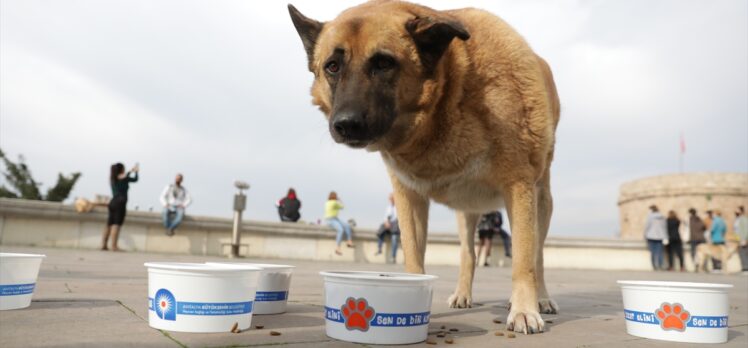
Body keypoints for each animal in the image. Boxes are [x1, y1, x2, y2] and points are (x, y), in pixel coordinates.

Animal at [290, 0, 560, 334]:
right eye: (332, 66)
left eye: (384, 63)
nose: (346, 124)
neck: (450, 97)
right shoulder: (409, 197)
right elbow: (413, 255)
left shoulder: (519, 187)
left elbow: (523, 260)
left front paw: (524, 310)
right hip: (467, 213)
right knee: (469, 253)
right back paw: (462, 293)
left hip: (541, 202)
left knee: (537, 255)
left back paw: (542, 298)